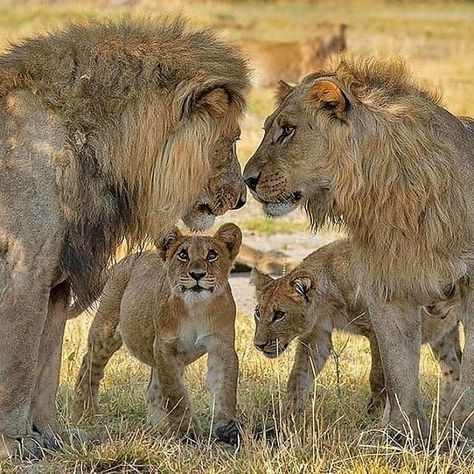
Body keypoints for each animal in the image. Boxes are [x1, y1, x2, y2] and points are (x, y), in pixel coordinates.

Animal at [0, 19, 250, 460]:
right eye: (233, 140)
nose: (241, 198)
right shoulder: (25, 267)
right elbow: (20, 363)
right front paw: (17, 442)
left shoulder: (58, 279)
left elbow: (46, 367)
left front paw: (51, 436)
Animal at [244, 58, 474, 440]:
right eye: (267, 129)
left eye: (287, 130)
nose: (247, 180)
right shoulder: (388, 288)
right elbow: (398, 370)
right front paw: (404, 436)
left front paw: (462, 429)